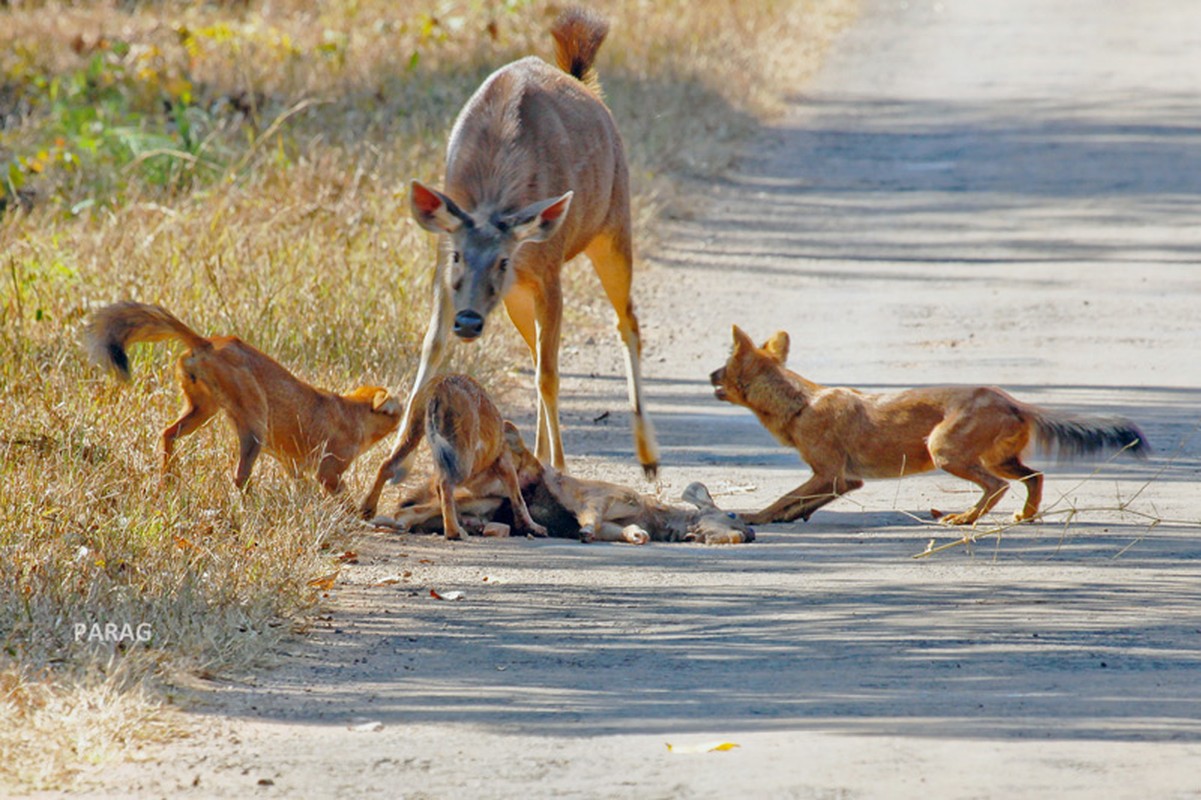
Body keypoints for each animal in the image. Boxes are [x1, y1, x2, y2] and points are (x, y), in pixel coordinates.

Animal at [87, 300, 403, 492]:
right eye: (399, 407)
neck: (354, 413)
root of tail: (208, 342)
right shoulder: (329, 470)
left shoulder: (294, 465)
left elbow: (302, 488)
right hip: (254, 425)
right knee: (238, 477)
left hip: (203, 410)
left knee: (167, 434)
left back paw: (168, 479)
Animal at [355, 372, 545, 535]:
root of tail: (441, 383)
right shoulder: (505, 464)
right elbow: (519, 501)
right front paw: (533, 527)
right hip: (463, 464)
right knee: (444, 484)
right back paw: (454, 533)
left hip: (412, 434)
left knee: (387, 465)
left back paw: (368, 509)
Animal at [362, 6, 658, 514]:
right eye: (458, 255)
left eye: (502, 260)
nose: (468, 321)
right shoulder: (444, 274)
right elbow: (431, 351)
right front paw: (396, 463)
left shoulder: (548, 270)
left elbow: (550, 375)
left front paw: (559, 465)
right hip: (524, 293)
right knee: (539, 348)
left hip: (613, 225)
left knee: (626, 322)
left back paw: (646, 457)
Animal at [374, 427, 749, 545]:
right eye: (733, 514)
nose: (751, 533)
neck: (658, 517)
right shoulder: (598, 499)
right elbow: (590, 520)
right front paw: (583, 532)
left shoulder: (617, 527)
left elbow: (630, 534)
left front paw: (635, 536)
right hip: (478, 496)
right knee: (411, 509)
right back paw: (389, 521)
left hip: (486, 506)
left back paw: (485, 528)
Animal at [706, 324, 1148, 523]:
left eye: (723, 368)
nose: (708, 375)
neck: (800, 404)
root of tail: (1012, 400)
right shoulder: (844, 480)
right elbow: (800, 501)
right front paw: (783, 517)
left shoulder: (832, 473)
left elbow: (785, 496)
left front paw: (754, 518)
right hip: (997, 458)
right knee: (1034, 476)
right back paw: (1022, 516)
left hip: (944, 450)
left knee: (997, 487)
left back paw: (965, 518)